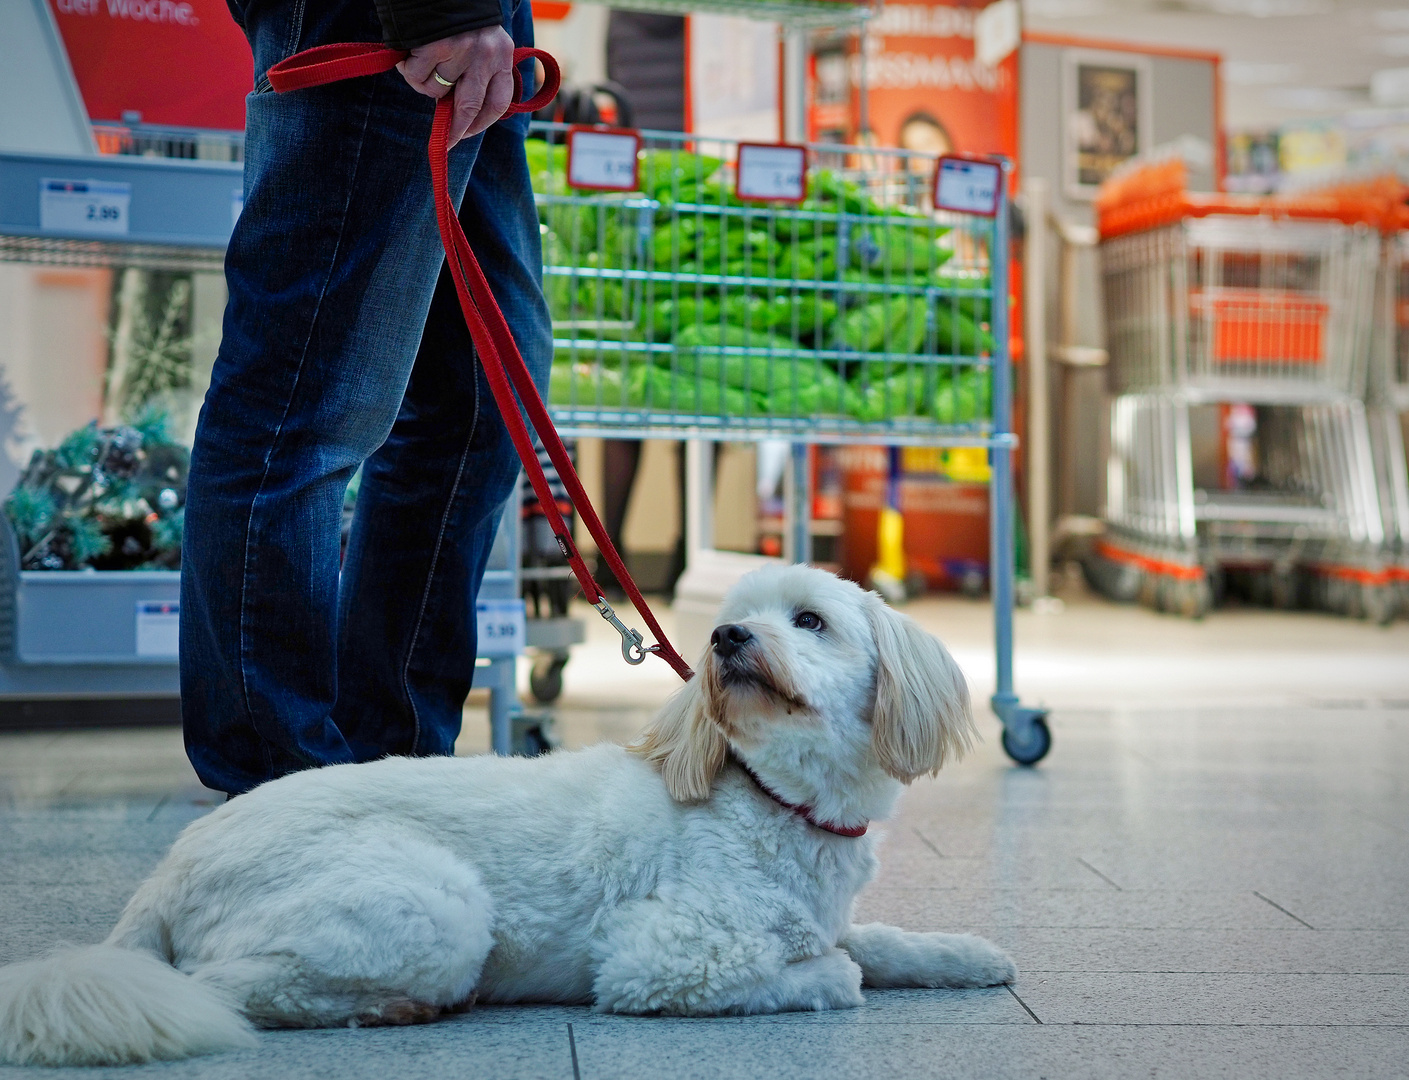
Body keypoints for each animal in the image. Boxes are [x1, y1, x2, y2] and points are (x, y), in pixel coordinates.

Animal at [0, 563, 1014, 1070]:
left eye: (809, 621)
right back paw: (390, 1007)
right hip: (434, 905)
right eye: (736, 620)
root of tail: (169, 869)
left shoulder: (826, 906)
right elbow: (835, 971)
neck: (772, 796)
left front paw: (964, 955)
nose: (728, 638)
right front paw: (842, 972)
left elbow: (878, 939)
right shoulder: (659, 958)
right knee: (230, 989)